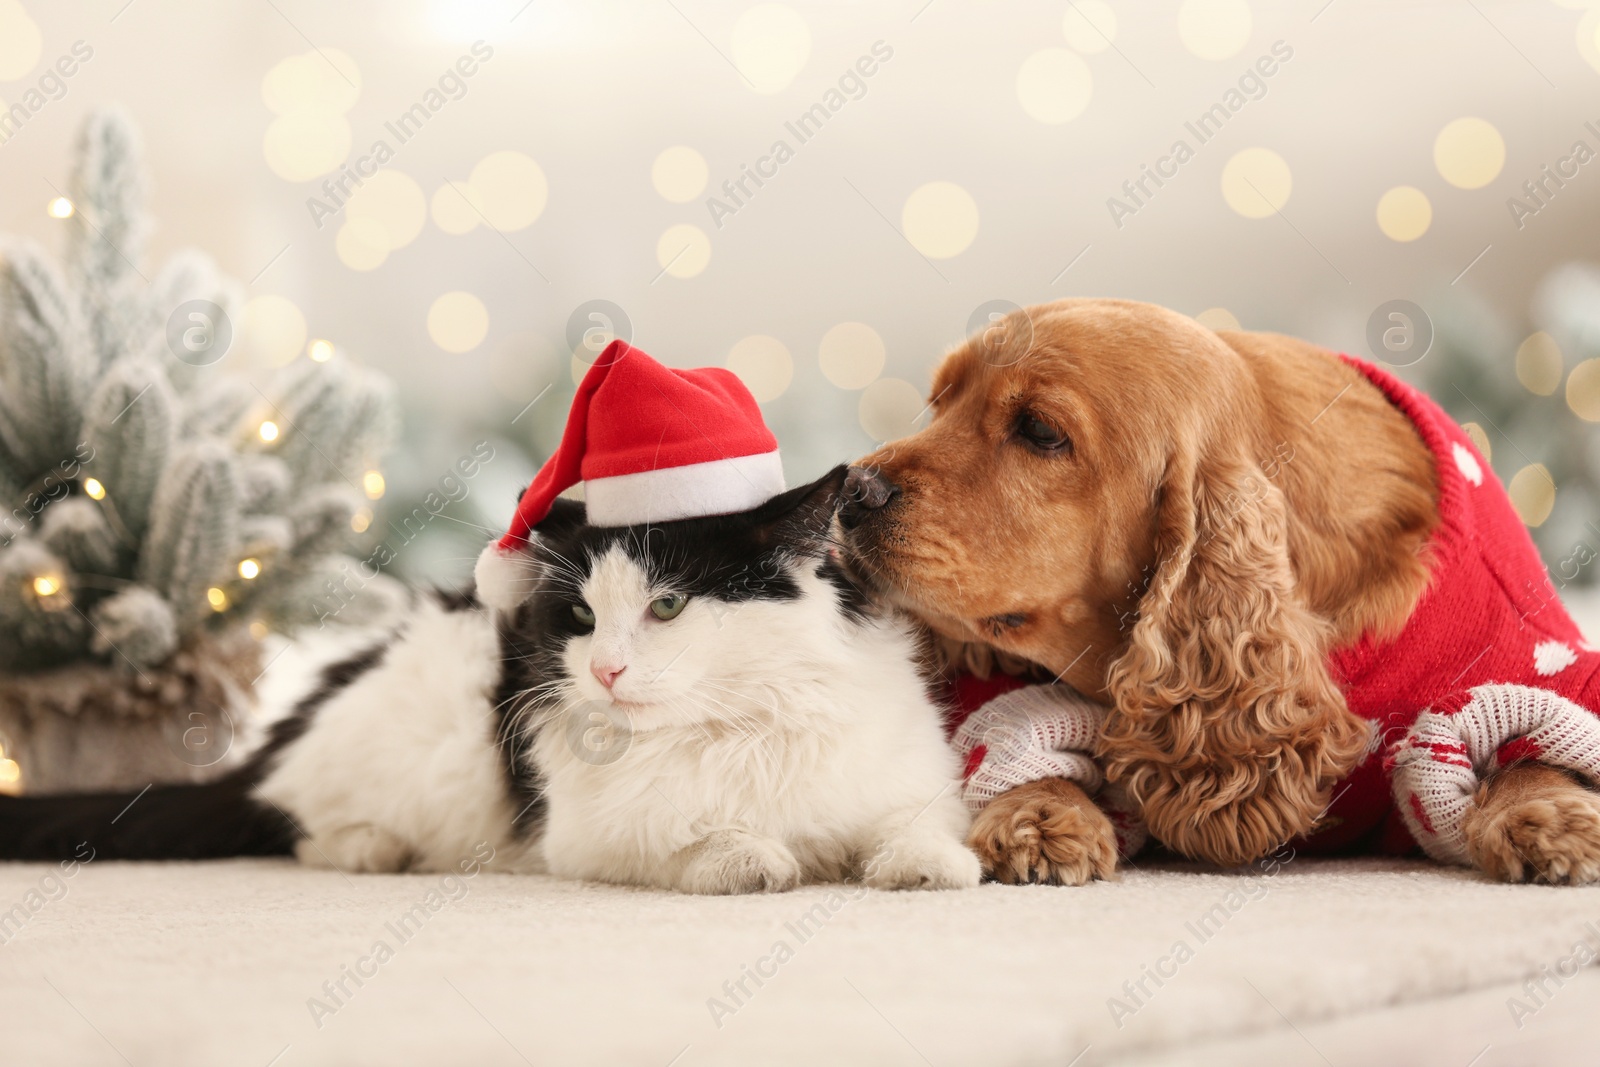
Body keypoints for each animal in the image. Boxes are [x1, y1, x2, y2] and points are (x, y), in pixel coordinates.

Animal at [0, 467, 972, 895]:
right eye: (579, 616)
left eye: (666, 604)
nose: (605, 668)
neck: (739, 726)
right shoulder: (587, 839)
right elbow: (699, 840)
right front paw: (752, 856)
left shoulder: (905, 780)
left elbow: (913, 828)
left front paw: (925, 865)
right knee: (297, 820)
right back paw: (369, 847)